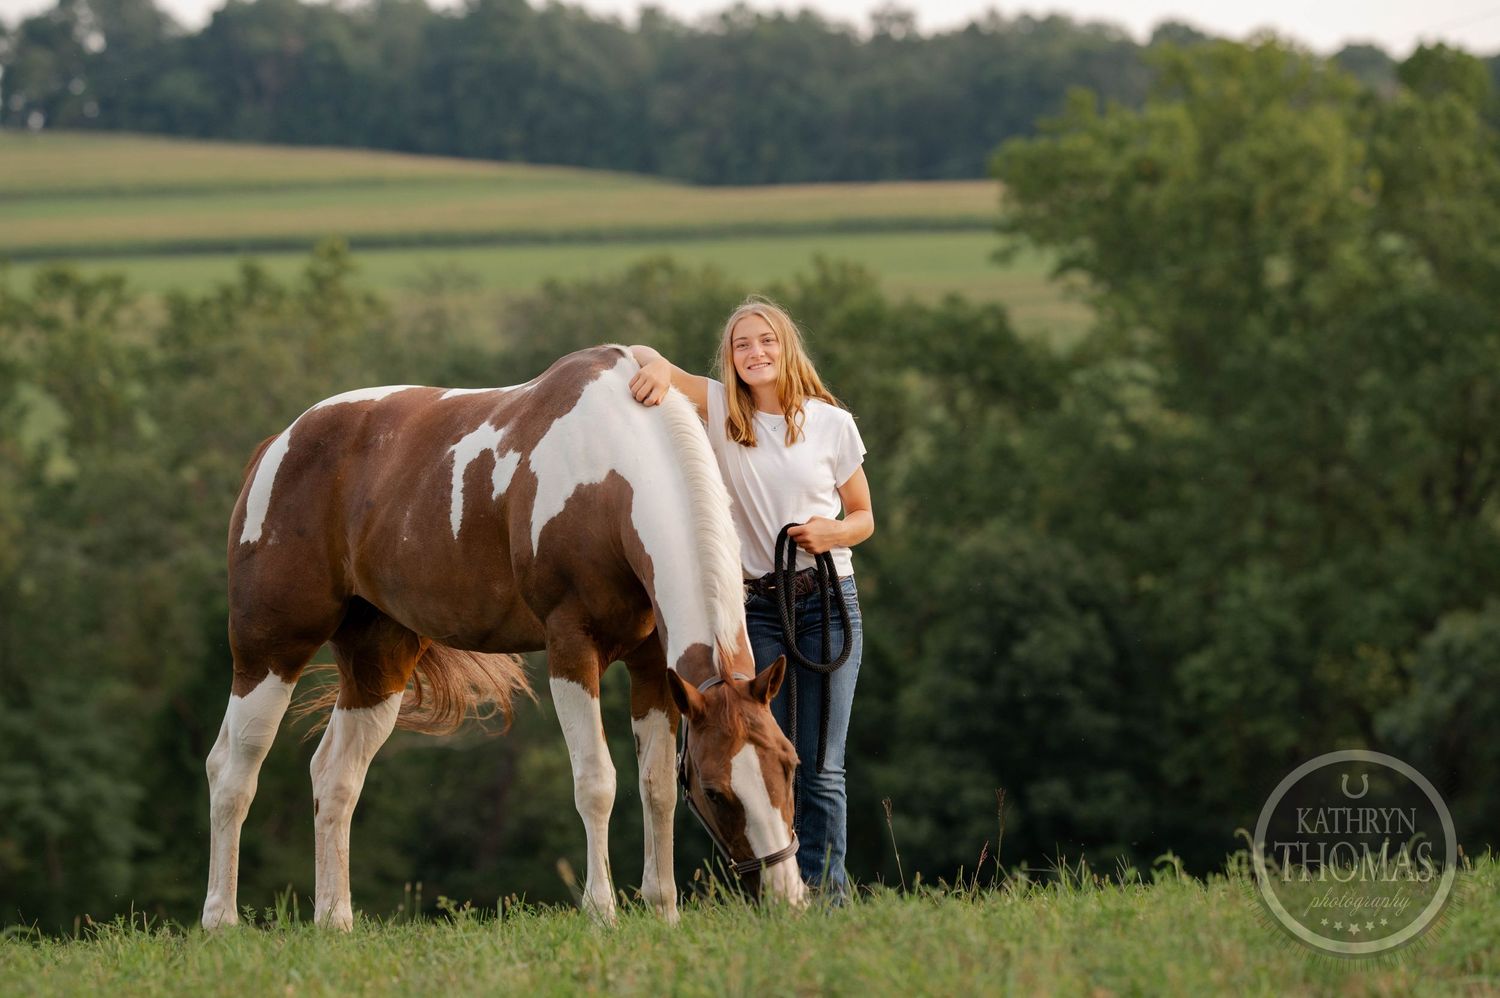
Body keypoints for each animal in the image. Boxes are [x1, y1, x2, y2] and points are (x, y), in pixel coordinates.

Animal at [201, 344, 806, 930]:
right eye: (717, 791)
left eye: (789, 762)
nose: (787, 898)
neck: (609, 474)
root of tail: (279, 445)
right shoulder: (572, 649)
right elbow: (596, 782)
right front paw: (602, 912)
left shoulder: (654, 663)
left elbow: (654, 784)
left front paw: (663, 910)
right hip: (270, 650)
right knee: (233, 770)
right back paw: (221, 921)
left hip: (377, 663)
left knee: (335, 778)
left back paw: (335, 920)